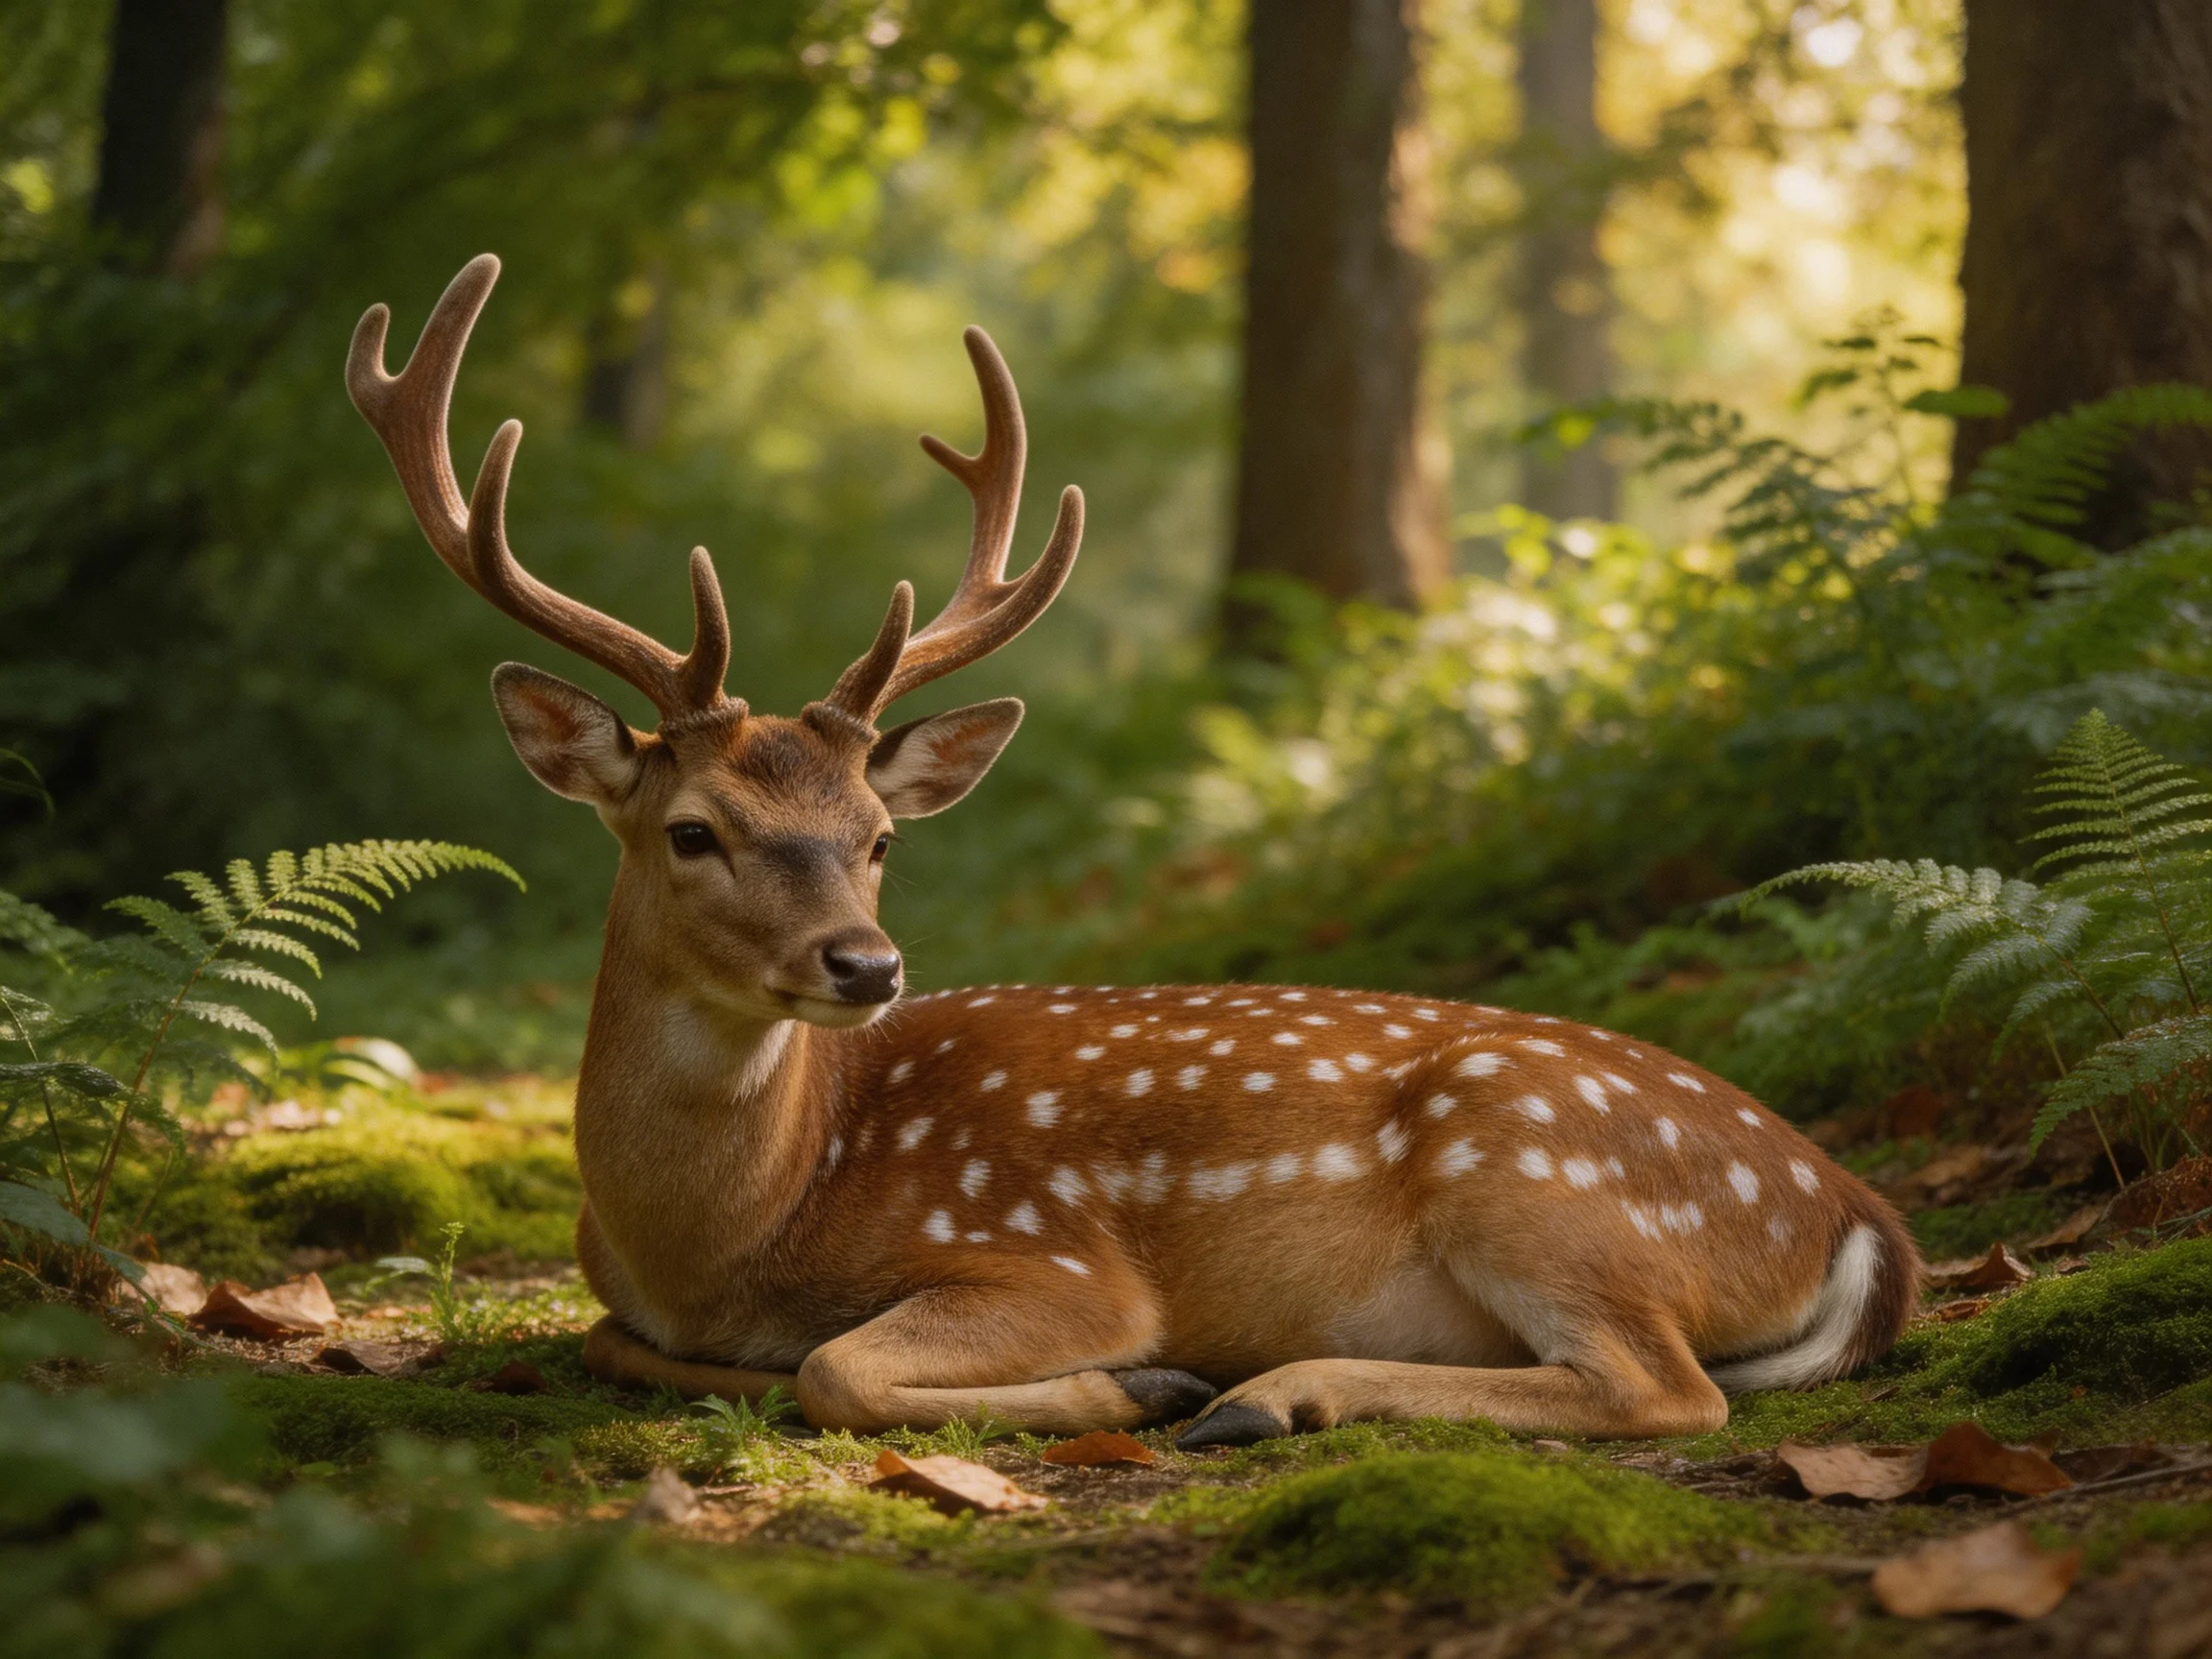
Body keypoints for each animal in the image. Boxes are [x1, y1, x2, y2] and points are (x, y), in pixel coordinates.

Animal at [346, 255, 1921, 1447]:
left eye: (877, 838)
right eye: (694, 830)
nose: (867, 965)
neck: (733, 1231)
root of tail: (1857, 1217)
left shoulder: (1053, 1257)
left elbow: (835, 1367)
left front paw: (1141, 1379)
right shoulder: (624, 1301)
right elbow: (609, 1342)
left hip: (1531, 1170)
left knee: (1666, 1388)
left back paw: (1260, 1392)